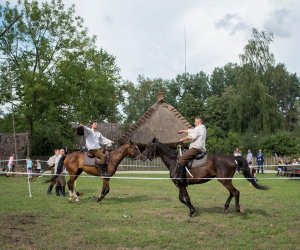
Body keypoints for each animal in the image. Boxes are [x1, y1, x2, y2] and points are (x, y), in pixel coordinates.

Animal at [137, 139, 268, 217]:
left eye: (149, 146)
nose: (141, 157)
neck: (175, 162)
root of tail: (233, 158)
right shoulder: (180, 185)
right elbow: (181, 199)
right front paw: (193, 209)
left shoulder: (181, 185)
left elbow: (186, 198)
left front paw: (192, 211)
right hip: (226, 180)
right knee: (232, 192)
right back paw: (226, 208)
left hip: (224, 180)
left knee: (236, 192)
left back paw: (237, 209)